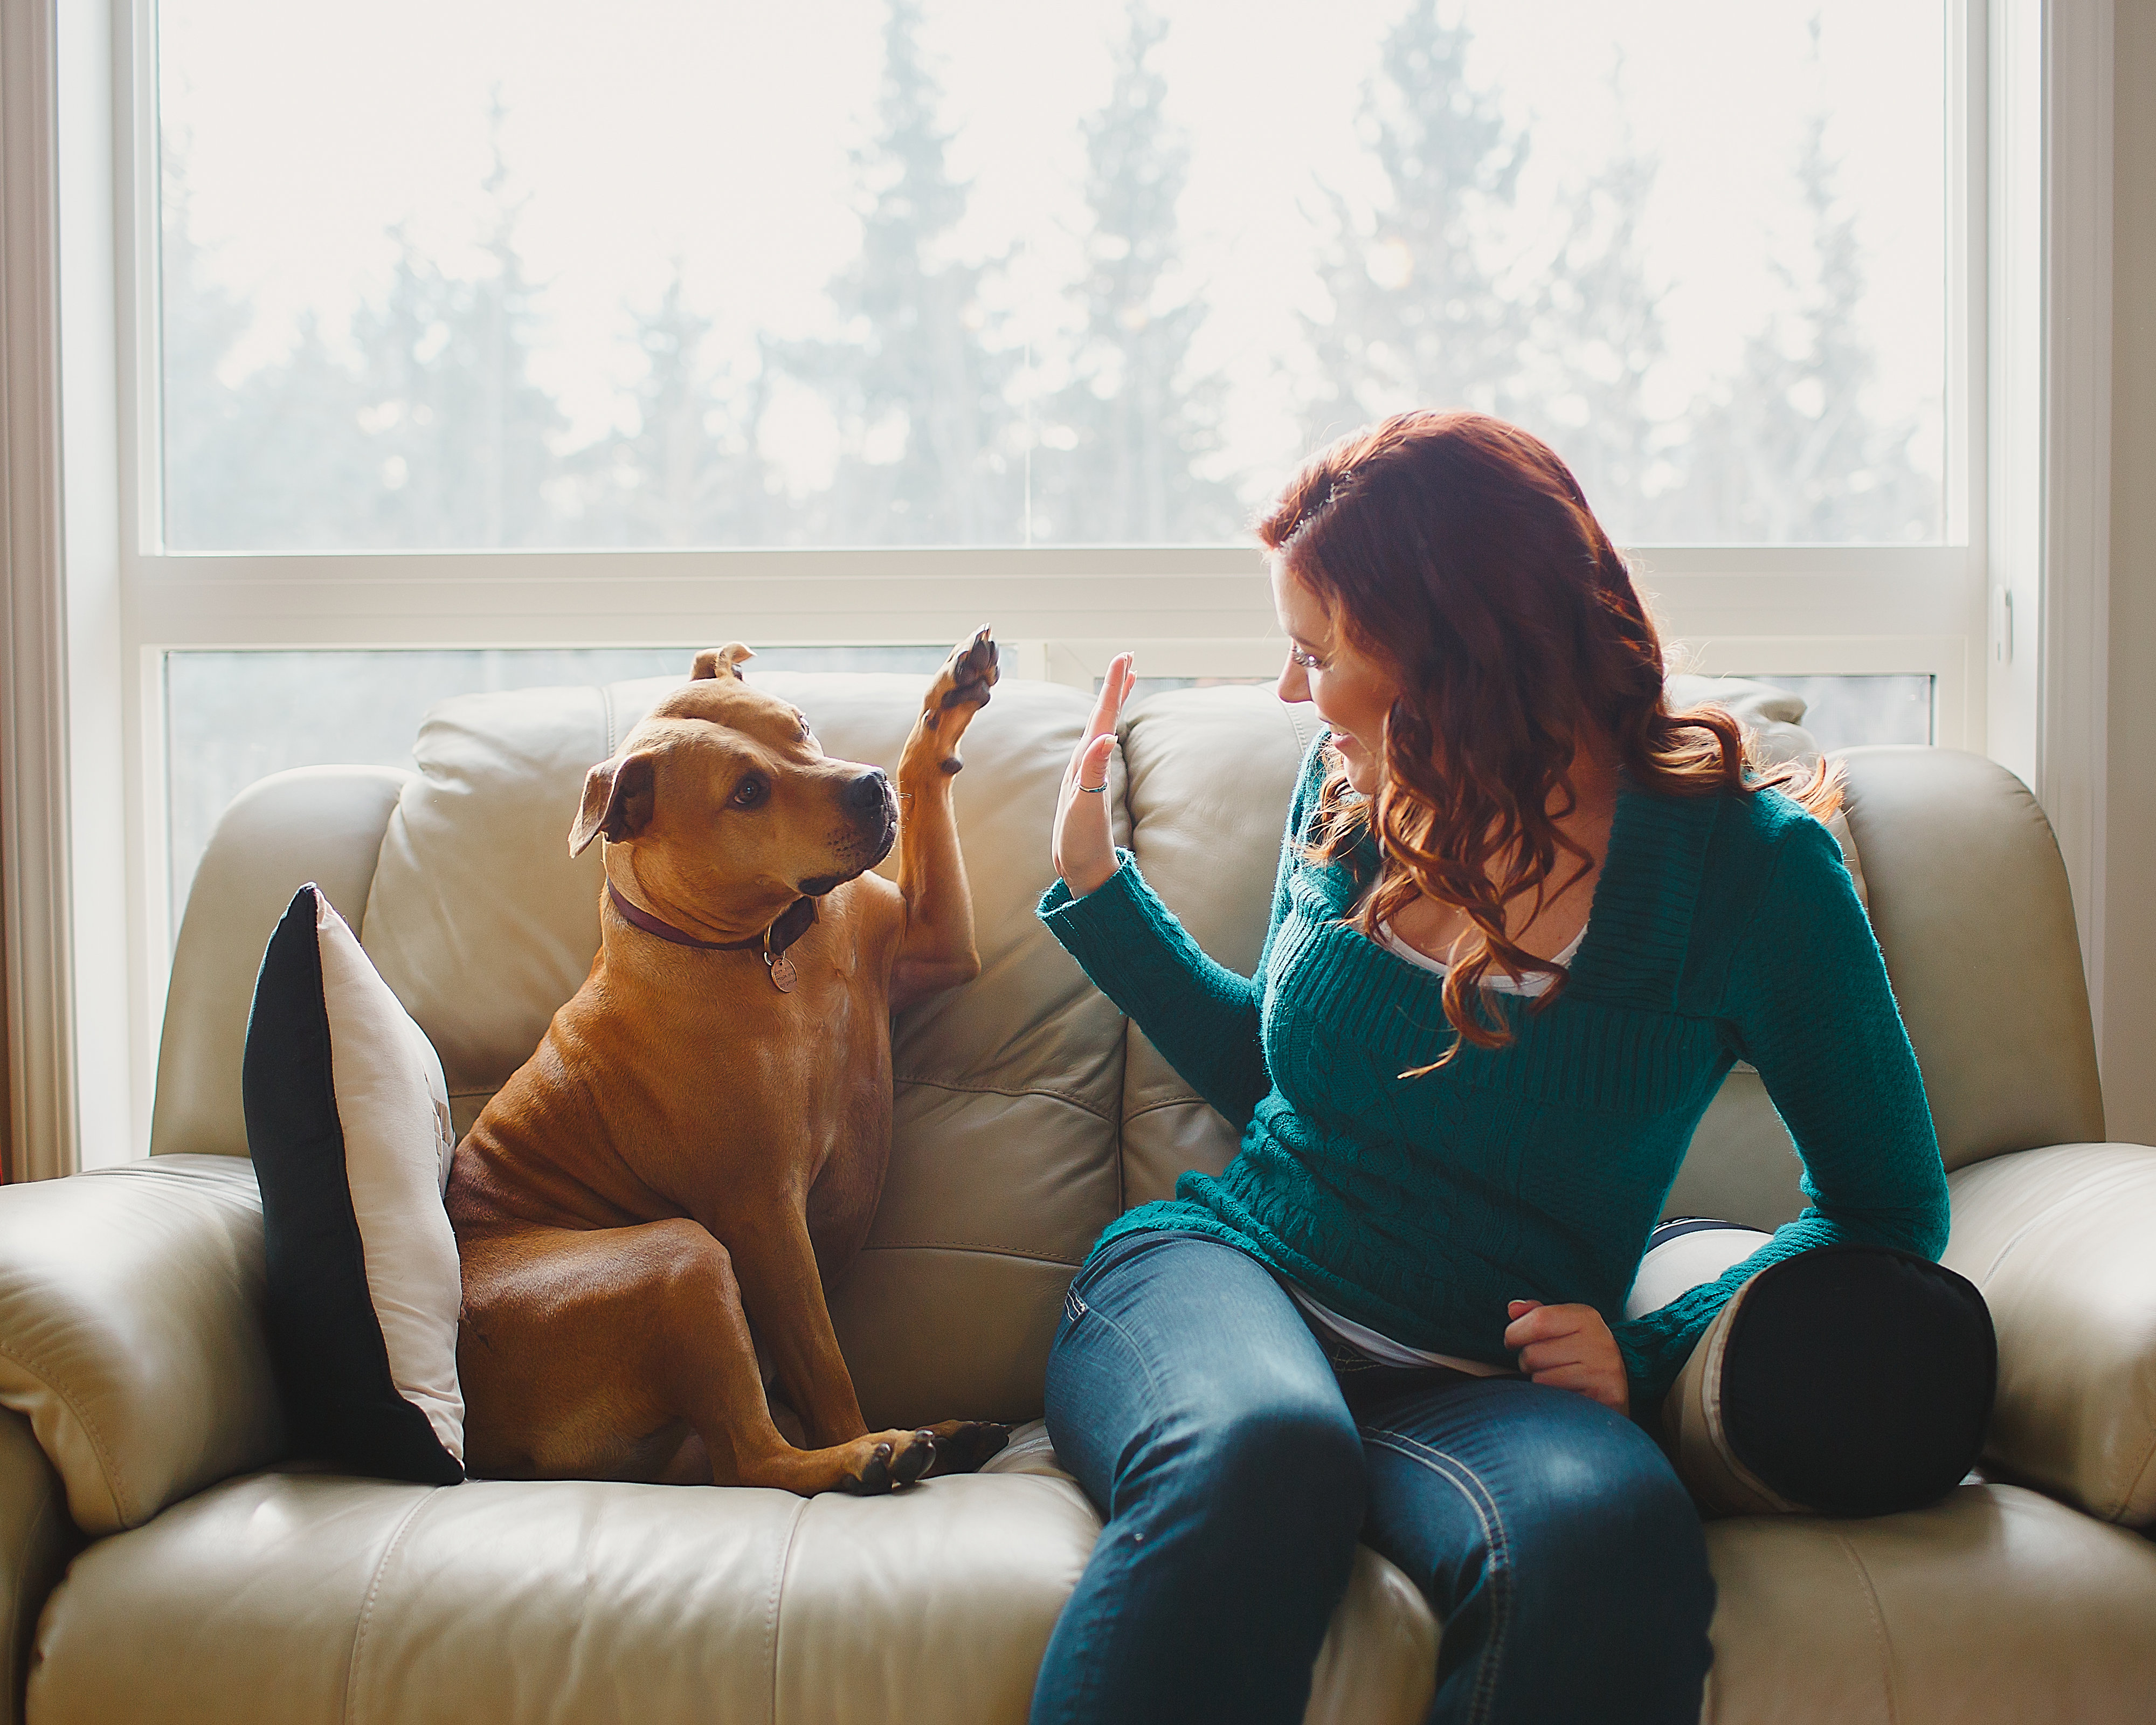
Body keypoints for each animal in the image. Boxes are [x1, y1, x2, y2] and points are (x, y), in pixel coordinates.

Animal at [444, 634, 1009, 1492]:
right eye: (747, 792)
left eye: (800, 725)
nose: (868, 785)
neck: (770, 947)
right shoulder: (764, 1215)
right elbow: (826, 1364)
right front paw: (859, 1434)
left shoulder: (936, 942)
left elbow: (926, 794)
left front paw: (948, 703)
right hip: (682, 1258)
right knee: (755, 1456)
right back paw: (870, 1454)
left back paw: (949, 1435)